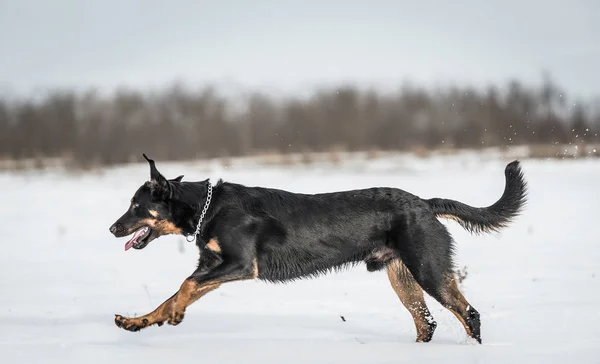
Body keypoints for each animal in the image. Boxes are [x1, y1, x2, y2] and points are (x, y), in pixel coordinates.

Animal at [110, 154, 528, 344]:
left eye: (136, 206)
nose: (112, 228)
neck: (205, 208)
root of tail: (425, 203)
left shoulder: (240, 264)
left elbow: (183, 287)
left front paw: (172, 316)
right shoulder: (214, 266)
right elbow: (176, 293)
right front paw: (139, 321)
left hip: (428, 269)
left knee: (469, 314)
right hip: (403, 277)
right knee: (427, 323)